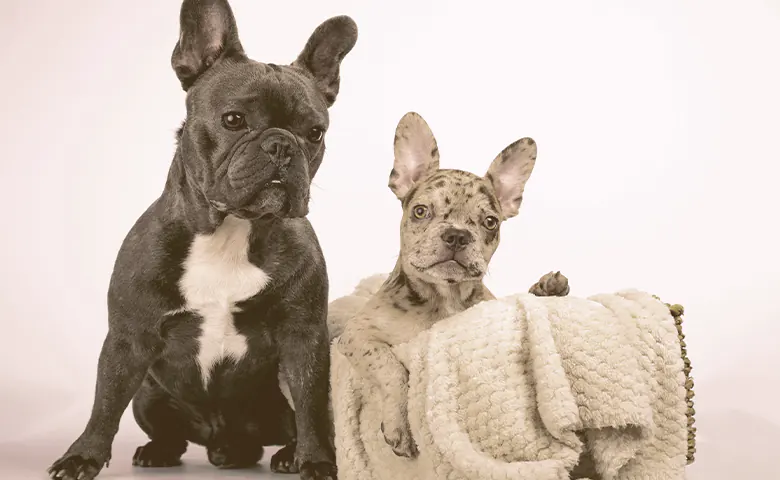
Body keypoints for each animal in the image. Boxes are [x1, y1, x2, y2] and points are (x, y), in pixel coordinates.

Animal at [50, 0, 362, 480]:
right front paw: (81, 456)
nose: (281, 145)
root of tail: (222, 438)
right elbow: (104, 404)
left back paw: (282, 455)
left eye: (315, 132)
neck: (230, 231)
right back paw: (161, 451)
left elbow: (310, 405)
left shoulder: (303, 339)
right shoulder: (129, 339)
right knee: (165, 430)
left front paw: (315, 461)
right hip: (149, 395)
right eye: (233, 120)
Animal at [336, 111, 568, 458]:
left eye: (490, 222)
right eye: (420, 211)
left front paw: (549, 290)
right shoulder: (357, 334)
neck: (441, 298)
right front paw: (399, 425)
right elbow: (390, 366)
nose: (457, 235)